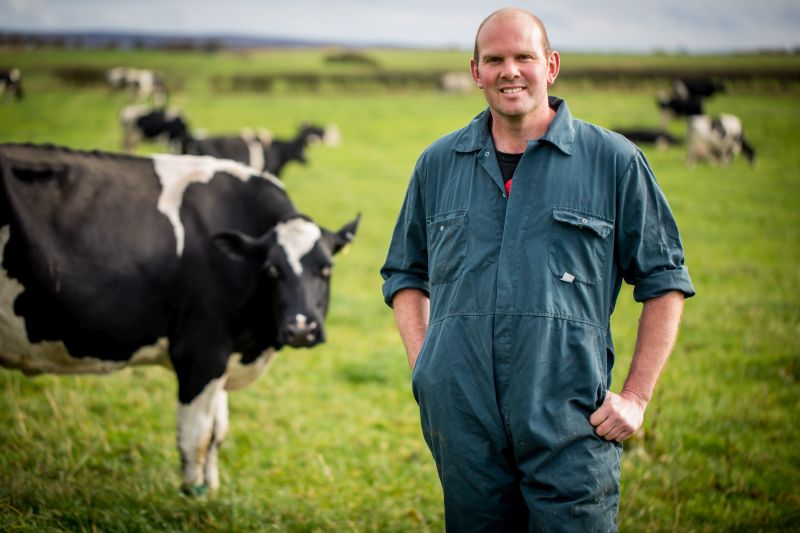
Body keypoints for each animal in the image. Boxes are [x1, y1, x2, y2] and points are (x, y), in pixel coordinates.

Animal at [0, 142, 360, 494]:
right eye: (272, 269)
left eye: (327, 268)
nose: (301, 329)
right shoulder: (202, 352)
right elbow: (196, 438)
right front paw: (191, 497)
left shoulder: (222, 357)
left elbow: (217, 431)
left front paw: (211, 491)